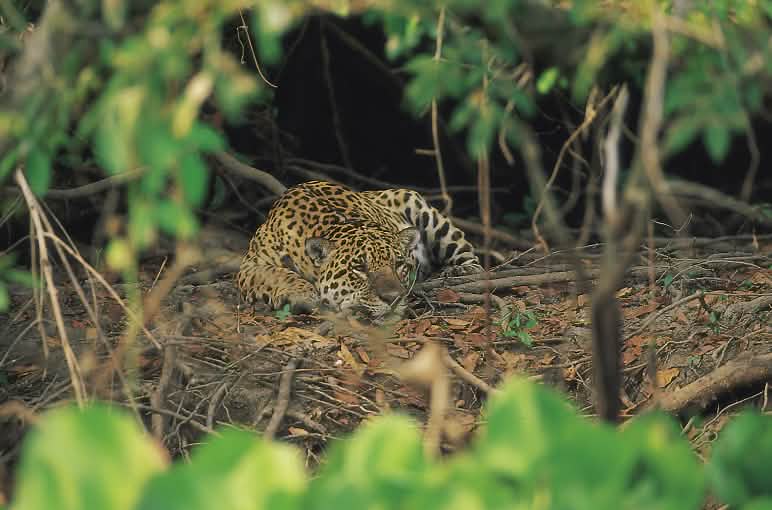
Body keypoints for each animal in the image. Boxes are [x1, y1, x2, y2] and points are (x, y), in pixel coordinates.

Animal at [236, 180, 483, 319]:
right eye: (359, 268)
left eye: (399, 265)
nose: (393, 299)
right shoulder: (250, 264)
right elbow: (274, 273)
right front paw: (301, 293)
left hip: (417, 203)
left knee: (469, 253)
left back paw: (462, 270)